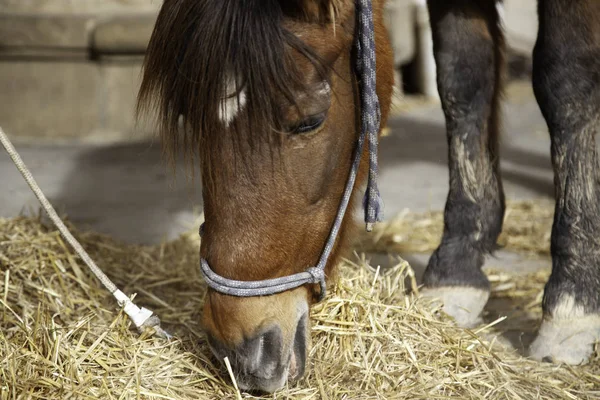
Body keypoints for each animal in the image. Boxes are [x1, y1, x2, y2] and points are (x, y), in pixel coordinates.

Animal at [137, 0, 600, 394]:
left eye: (308, 121)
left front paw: (572, 305)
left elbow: (568, 80)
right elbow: (462, 78)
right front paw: (455, 274)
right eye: (190, 116)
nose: (235, 350)